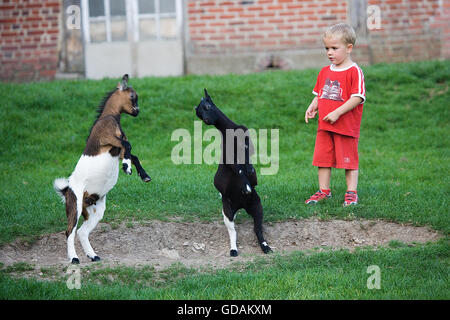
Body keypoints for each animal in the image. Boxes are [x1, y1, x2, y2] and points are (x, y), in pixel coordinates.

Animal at [196, 89, 272, 256]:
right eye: (199, 114)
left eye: (207, 106)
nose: (206, 119)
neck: (230, 132)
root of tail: (240, 205)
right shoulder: (229, 158)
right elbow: (238, 169)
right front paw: (247, 185)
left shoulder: (248, 146)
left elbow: (248, 163)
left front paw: (251, 175)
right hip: (227, 209)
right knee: (233, 231)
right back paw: (233, 250)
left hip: (257, 205)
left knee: (257, 228)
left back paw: (266, 247)